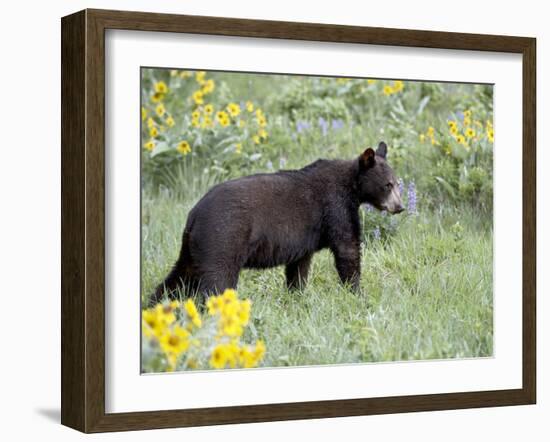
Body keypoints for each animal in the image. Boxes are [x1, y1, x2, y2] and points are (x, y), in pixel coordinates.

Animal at [151, 141, 406, 304]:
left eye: (397, 183)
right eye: (387, 185)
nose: (400, 207)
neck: (352, 187)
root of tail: (194, 215)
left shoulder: (305, 238)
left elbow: (299, 266)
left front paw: (296, 295)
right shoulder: (335, 208)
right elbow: (347, 248)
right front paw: (357, 293)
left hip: (193, 247)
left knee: (178, 277)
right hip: (222, 238)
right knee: (217, 281)